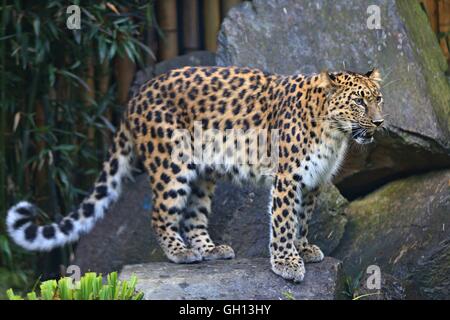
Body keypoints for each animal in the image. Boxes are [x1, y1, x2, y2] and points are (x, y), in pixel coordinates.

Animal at [6, 66, 384, 282]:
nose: (380, 123)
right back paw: (180, 253)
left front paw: (303, 249)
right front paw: (286, 263)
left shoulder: (314, 181)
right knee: (161, 214)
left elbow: (302, 219)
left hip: (202, 172)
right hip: (173, 163)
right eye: (358, 102)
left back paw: (211, 249)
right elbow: (283, 221)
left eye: (378, 98)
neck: (334, 132)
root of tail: (135, 97)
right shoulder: (287, 177)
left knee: (194, 217)